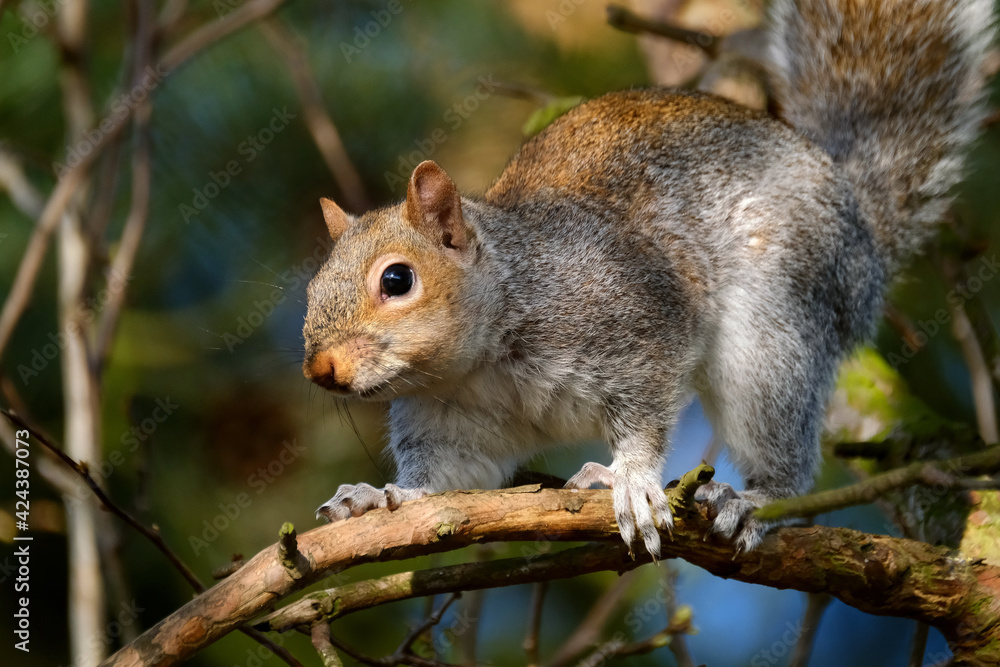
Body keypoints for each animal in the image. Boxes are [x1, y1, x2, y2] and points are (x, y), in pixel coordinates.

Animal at [300, 0, 996, 552]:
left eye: (397, 280)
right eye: (309, 289)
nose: (319, 371)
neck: (481, 356)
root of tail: (858, 225)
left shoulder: (635, 323)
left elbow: (646, 414)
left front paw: (633, 477)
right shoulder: (447, 425)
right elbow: (448, 485)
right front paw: (383, 496)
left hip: (777, 327)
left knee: (783, 441)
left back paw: (754, 500)